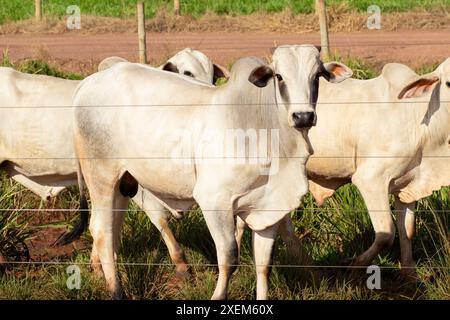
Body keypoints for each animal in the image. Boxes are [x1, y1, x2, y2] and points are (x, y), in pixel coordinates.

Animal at [70, 45, 352, 300]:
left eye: (317, 76)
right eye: (279, 76)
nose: (303, 116)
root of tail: (88, 83)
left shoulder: (269, 207)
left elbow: (264, 264)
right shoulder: (215, 201)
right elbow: (228, 258)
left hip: (123, 183)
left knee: (111, 230)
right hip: (101, 177)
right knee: (102, 233)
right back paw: (117, 291)